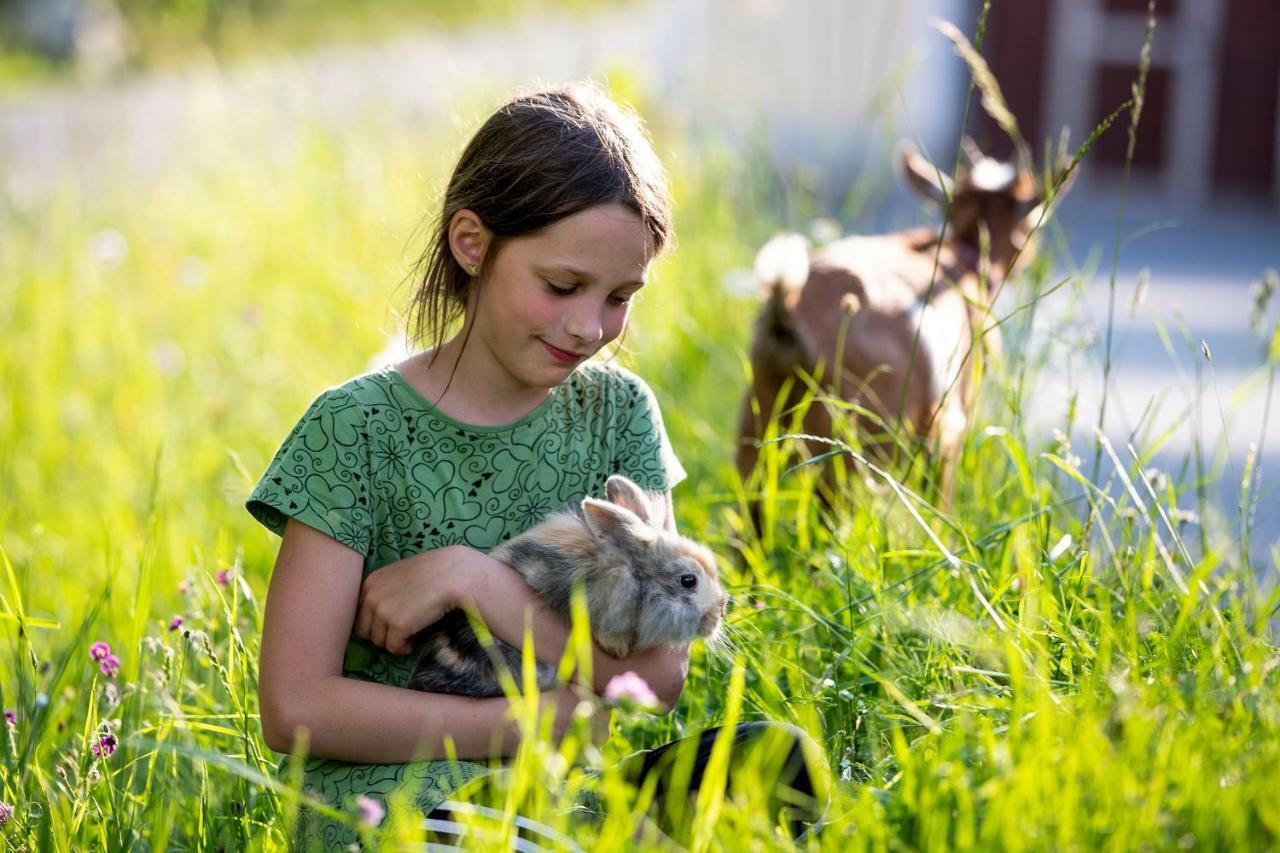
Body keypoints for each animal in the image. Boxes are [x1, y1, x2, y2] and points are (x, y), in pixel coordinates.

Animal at [732, 140, 1070, 504]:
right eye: (1030, 223)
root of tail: (788, 312)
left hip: (756, 426)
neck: (961, 255)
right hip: (852, 442)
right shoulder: (948, 431)